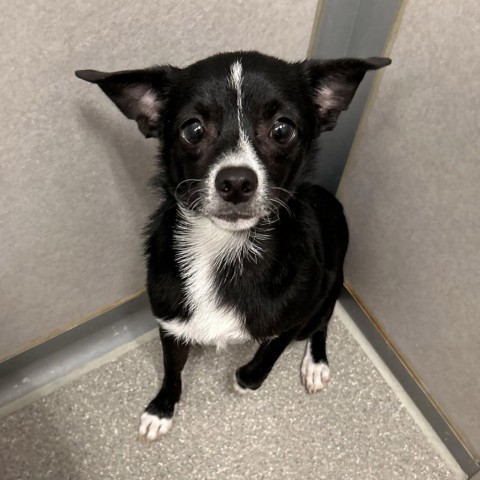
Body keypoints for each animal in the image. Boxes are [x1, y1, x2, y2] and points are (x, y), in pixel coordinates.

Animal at [75, 50, 390, 440]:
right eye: (193, 129)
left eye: (283, 129)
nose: (237, 182)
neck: (224, 247)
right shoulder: (170, 322)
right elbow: (171, 370)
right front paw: (161, 409)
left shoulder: (295, 315)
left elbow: (269, 353)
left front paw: (245, 379)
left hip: (329, 286)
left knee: (322, 322)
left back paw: (316, 363)